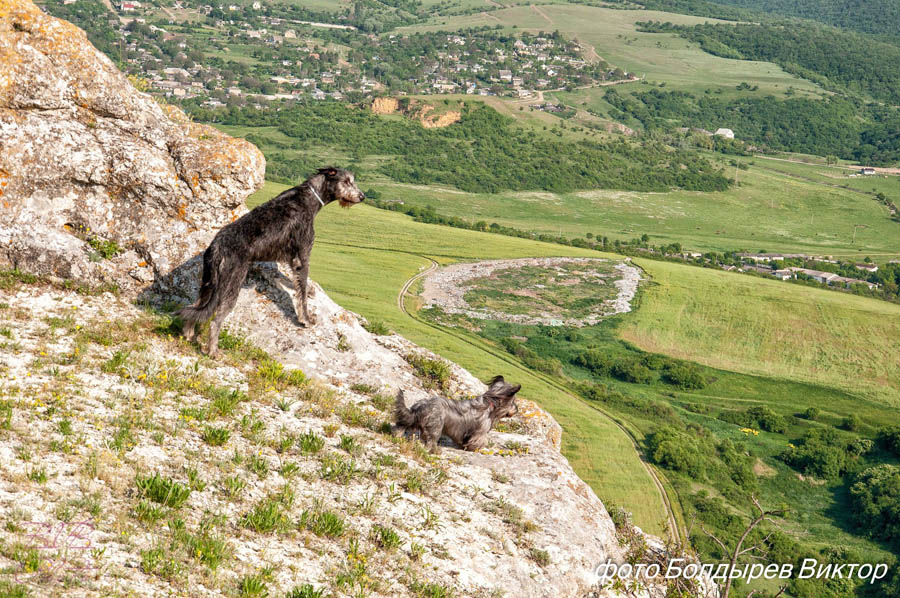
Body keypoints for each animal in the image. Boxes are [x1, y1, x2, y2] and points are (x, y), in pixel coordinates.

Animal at [178, 166, 364, 358]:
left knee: (195, 308)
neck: (311, 196)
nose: (362, 196)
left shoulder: (290, 258)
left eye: (352, 180)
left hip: (208, 283)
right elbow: (302, 293)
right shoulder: (303, 253)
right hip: (230, 285)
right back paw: (213, 352)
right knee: (215, 321)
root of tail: (217, 247)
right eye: (347, 181)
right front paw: (306, 319)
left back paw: (189, 334)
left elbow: (294, 281)